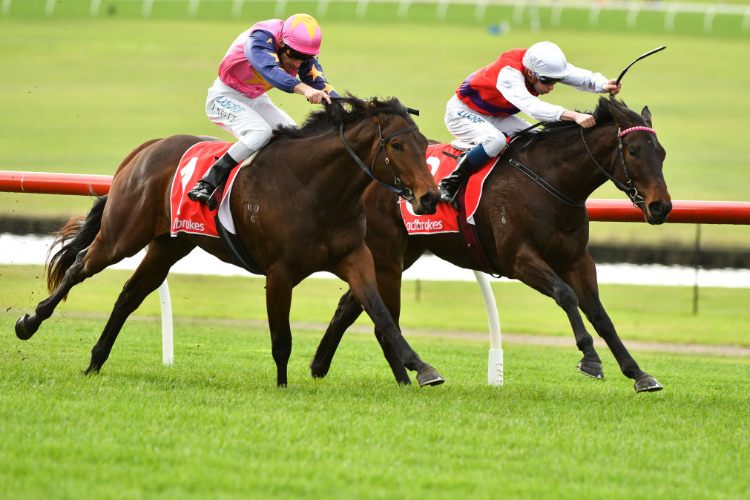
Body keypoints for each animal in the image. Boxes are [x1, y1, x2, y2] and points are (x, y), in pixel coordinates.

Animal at [14, 96, 446, 386]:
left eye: (424, 144)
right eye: (396, 145)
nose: (430, 197)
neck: (315, 188)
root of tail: (146, 149)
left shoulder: (355, 258)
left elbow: (381, 313)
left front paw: (423, 368)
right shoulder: (280, 272)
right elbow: (281, 338)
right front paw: (282, 388)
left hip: (169, 244)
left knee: (129, 295)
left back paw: (95, 361)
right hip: (123, 234)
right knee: (78, 267)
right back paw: (29, 324)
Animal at [312, 96, 676, 394]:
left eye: (661, 152)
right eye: (633, 151)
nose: (661, 207)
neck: (551, 181)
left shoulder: (576, 260)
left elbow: (600, 315)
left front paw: (639, 373)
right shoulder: (518, 259)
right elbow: (566, 295)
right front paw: (590, 357)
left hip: (404, 253)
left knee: (349, 307)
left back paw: (323, 367)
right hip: (386, 253)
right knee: (378, 314)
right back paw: (411, 375)